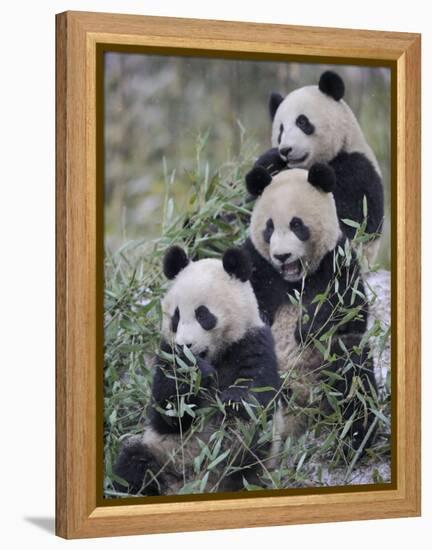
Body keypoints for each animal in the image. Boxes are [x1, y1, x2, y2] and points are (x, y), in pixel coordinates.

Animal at [113, 248, 280, 498]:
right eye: (176, 317)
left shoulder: (253, 342)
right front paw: (195, 373)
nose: (186, 345)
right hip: (160, 451)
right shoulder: (167, 355)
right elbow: (169, 412)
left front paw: (231, 401)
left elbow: (257, 393)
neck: (214, 355)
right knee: (131, 463)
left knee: (248, 449)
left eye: (203, 315)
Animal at [243, 162, 378, 454]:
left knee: (353, 372)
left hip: (327, 375)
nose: (282, 256)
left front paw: (304, 329)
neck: (294, 280)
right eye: (269, 228)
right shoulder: (256, 265)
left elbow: (350, 311)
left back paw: (354, 441)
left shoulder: (337, 261)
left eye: (297, 225)